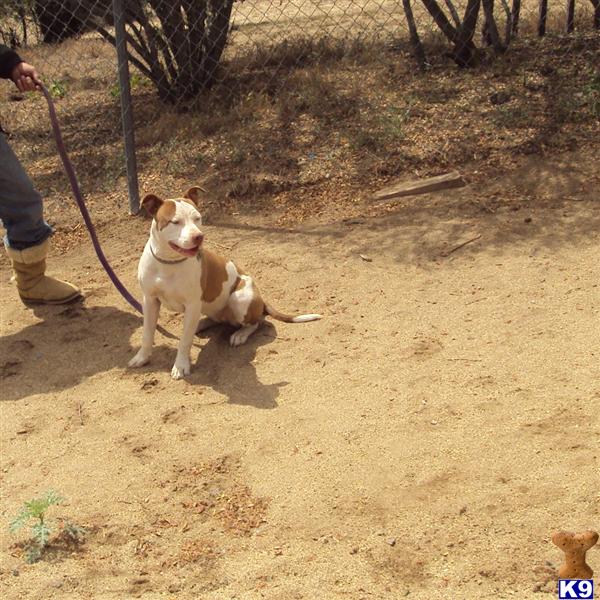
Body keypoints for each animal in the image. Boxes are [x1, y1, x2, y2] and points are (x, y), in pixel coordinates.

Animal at [128, 186, 322, 380]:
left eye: (197, 218)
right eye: (175, 222)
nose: (199, 237)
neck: (169, 262)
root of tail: (261, 299)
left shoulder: (192, 304)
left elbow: (184, 341)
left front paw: (181, 365)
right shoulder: (149, 301)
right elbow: (147, 333)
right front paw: (142, 358)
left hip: (239, 298)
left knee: (256, 322)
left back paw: (240, 334)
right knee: (214, 319)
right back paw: (201, 324)